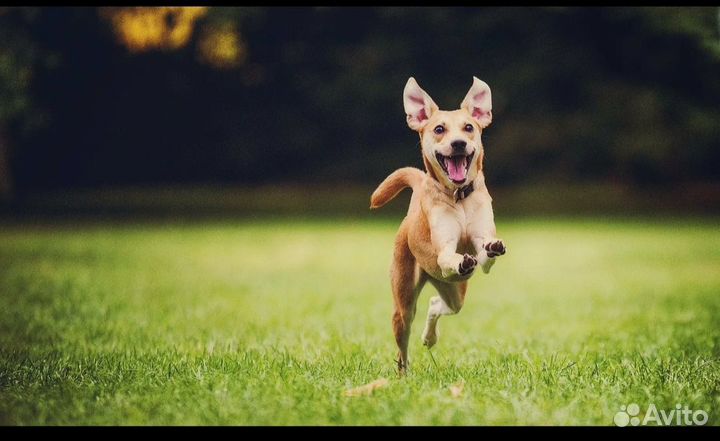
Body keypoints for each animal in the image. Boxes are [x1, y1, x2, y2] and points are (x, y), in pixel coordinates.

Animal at [372, 75, 506, 372]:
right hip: (404, 301)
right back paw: (404, 373)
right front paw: (459, 260)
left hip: (455, 292)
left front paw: (491, 248)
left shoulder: (482, 245)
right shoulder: (444, 250)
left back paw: (429, 337)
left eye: (469, 127)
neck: (459, 198)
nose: (458, 143)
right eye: (439, 129)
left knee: (437, 304)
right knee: (403, 343)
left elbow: (486, 254)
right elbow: (448, 256)